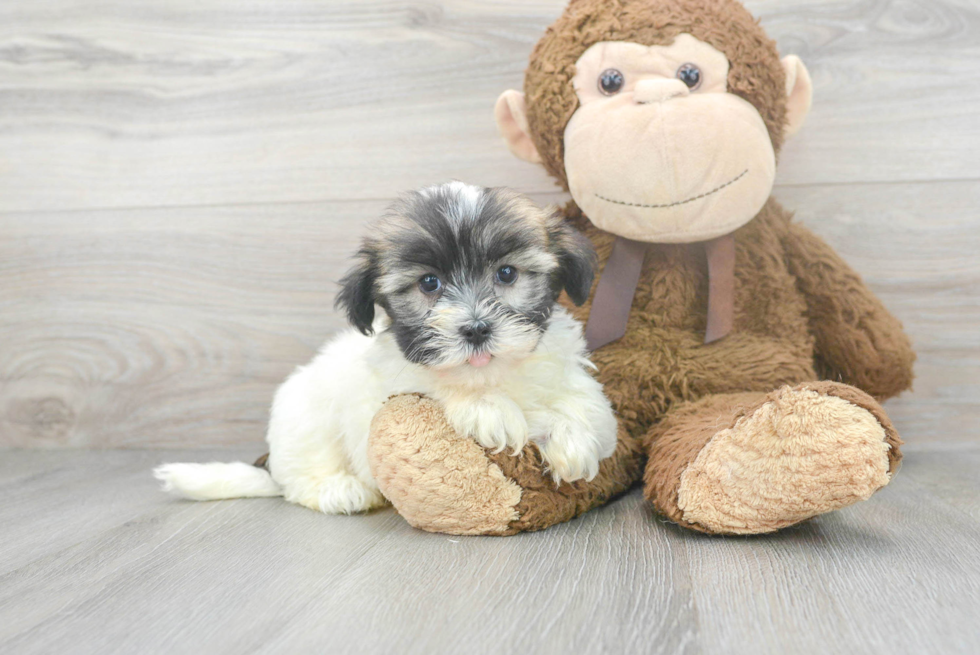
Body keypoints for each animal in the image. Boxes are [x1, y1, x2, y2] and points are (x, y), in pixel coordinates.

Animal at [156, 182, 616, 516]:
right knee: (300, 478)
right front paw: (490, 409)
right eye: (429, 283)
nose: (476, 329)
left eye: (506, 274)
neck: (488, 371)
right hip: (303, 416)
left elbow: (586, 405)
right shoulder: (391, 387)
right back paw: (339, 490)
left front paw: (573, 438)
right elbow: (437, 389)